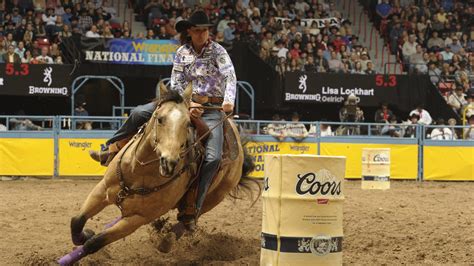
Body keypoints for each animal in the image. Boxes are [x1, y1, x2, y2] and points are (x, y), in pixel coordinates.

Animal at [58, 82, 256, 264]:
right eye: (160, 119)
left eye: (187, 123)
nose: (170, 162)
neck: (139, 172)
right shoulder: (102, 190)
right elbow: (76, 221)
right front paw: (85, 234)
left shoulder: (137, 219)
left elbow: (95, 243)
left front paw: (81, 246)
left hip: (213, 198)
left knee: (188, 220)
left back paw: (167, 241)